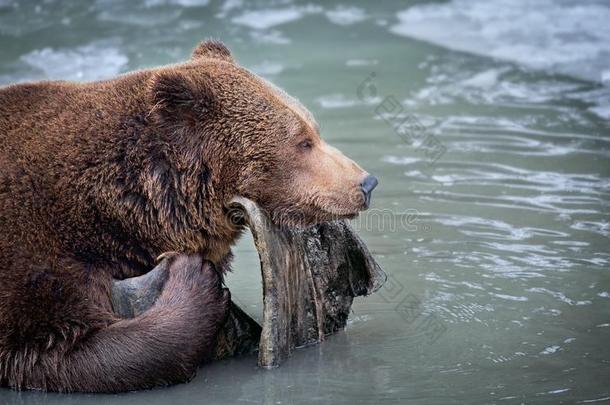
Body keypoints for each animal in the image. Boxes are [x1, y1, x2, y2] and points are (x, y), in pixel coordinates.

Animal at [0, 40, 378, 392]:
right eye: (302, 142)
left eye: (314, 128)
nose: (366, 182)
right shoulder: (33, 250)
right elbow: (53, 344)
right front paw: (193, 276)